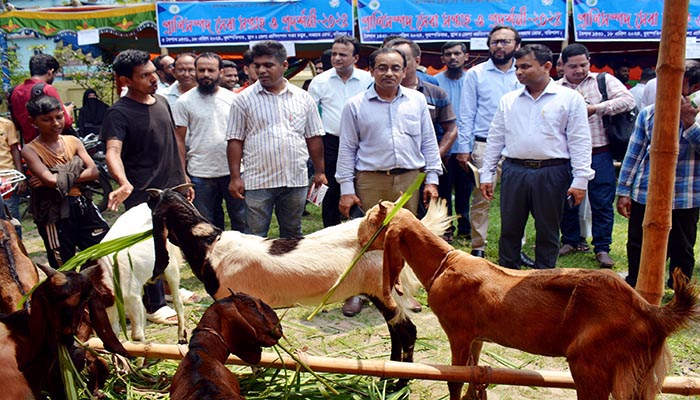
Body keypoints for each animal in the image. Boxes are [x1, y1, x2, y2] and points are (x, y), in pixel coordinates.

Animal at [149, 186, 454, 368]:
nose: (149, 194)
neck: (210, 244)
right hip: (381, 292)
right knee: (396, 331)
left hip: (382, 290)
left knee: (407, 331)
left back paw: (398, 381)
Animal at [360, 203, 700, 400]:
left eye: (370, 220)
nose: (358, 237)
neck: (444, 264)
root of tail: (650, 312)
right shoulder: (476, 338)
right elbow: (473, 376)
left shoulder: (458, 332)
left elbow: (454, 381)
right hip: (641, 375)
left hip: (589, 364)